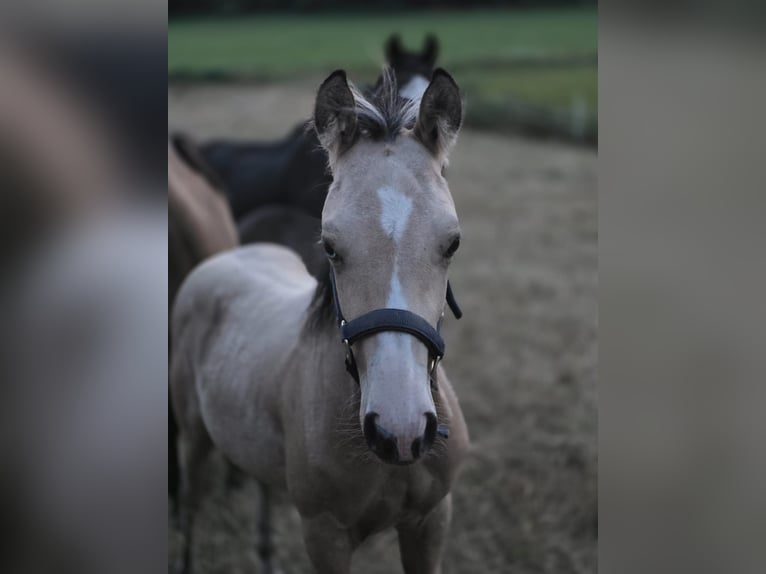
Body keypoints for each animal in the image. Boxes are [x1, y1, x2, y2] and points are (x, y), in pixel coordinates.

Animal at [171, 67, 469, 573]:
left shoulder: (433, 520)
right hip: (193, 438)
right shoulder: (325, 534)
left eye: (452, 243)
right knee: (190, 504)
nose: (400, 431)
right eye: (329, 245)